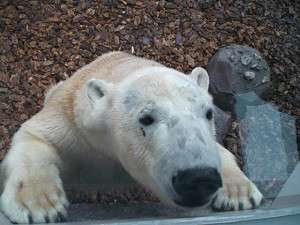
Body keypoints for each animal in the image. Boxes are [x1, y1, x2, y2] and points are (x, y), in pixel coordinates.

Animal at [0, 51, 262, 223]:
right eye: (146, 118)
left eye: (208, 113)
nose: (197, 178)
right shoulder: (75, 120)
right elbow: (36, 134)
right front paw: (39, 204)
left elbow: (219, 149)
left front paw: (238, 193)